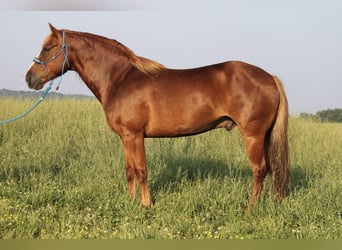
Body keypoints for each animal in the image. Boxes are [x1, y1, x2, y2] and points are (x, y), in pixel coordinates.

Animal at [26, 23, 288, 207]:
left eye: (48, 48)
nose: (30, 78)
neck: (120, 79)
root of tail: (269, 77)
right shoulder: (125, 137)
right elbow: (130, 170)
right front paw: (130, 201)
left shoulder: (135, 135)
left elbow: (142, 170)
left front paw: (146, 204)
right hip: (264, 137)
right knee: (271, 169)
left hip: (253, 135)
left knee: (259, 169)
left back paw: (250, 207)